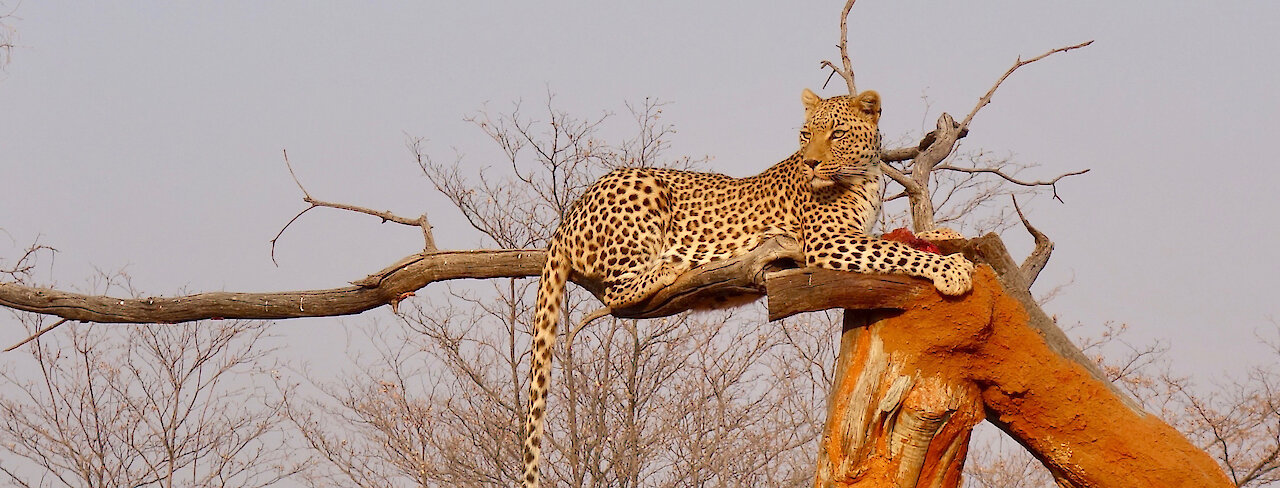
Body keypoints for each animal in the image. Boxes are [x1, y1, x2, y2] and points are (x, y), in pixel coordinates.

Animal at [519, 88, 975, 487]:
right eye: (807, 134)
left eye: (837, 134)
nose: (812, 163)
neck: (865, 176)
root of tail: (566, 218)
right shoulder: (829, 242)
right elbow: (895, 251)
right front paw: (952, 269)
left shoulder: (855, 233)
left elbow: (898, 239)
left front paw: (944, 232)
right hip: (643, 193)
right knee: (618, 288)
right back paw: (670, 265)